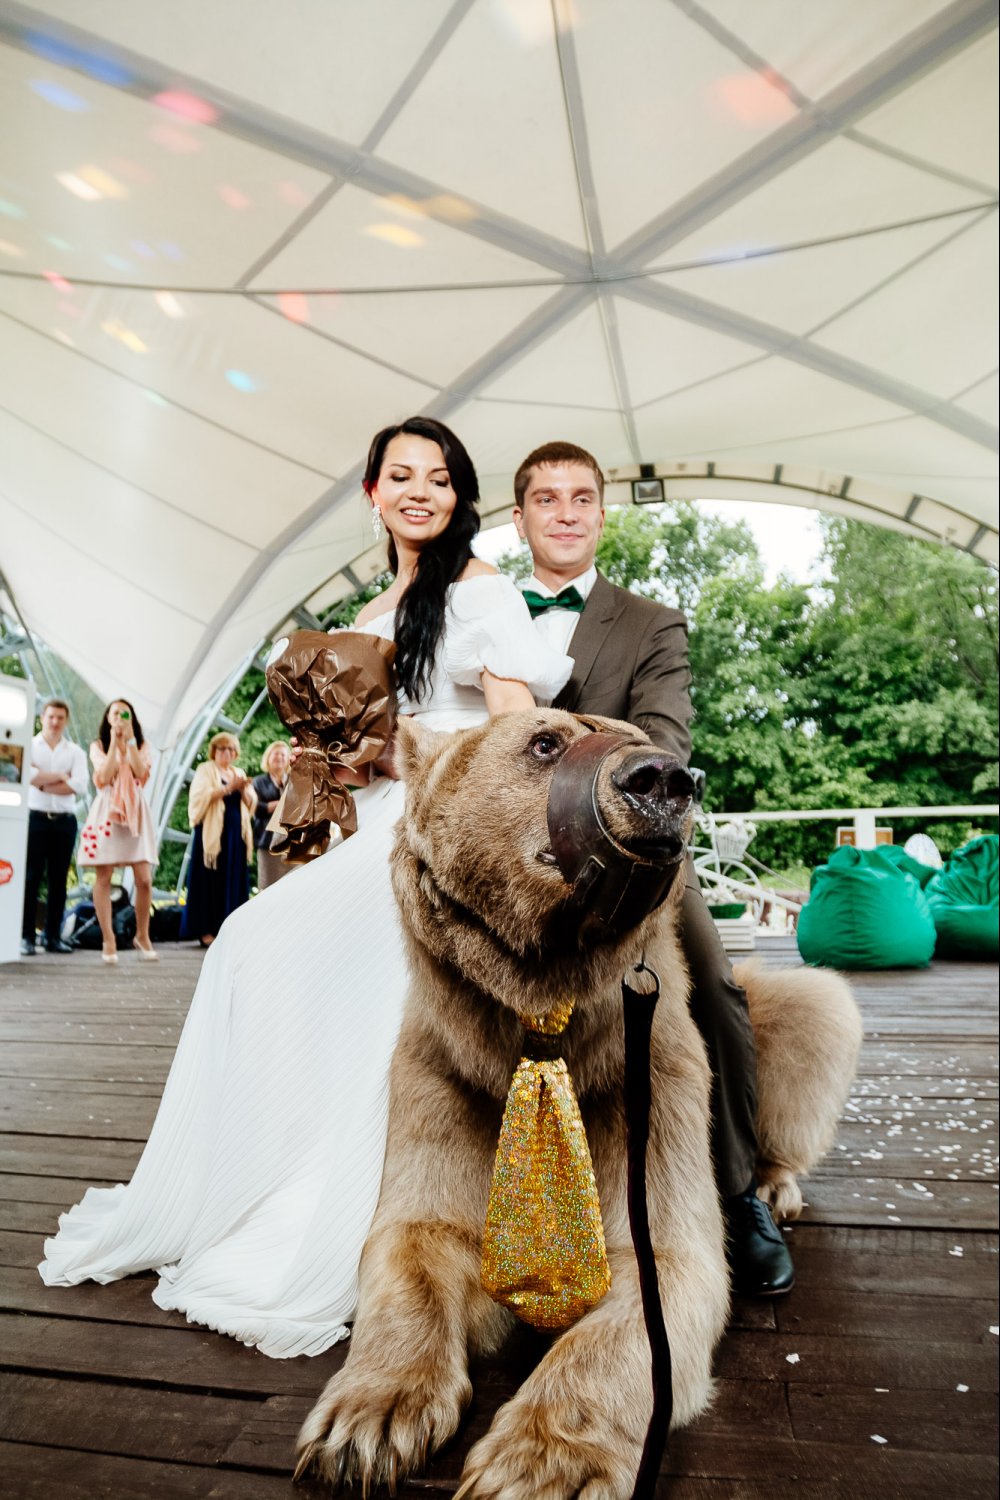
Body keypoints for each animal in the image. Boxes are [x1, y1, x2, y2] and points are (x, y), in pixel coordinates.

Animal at [295, 708, 863, 1494]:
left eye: (642, 738)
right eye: (544, 742)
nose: (666, 780)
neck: (543, 1015)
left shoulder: (644, 1081)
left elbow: (658, 1276)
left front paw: (536, 1462)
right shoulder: (448, 1072)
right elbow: (415, 1235)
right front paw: (365, 1421)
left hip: (785, 1014)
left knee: (815, 1013)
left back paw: (773, 1190)